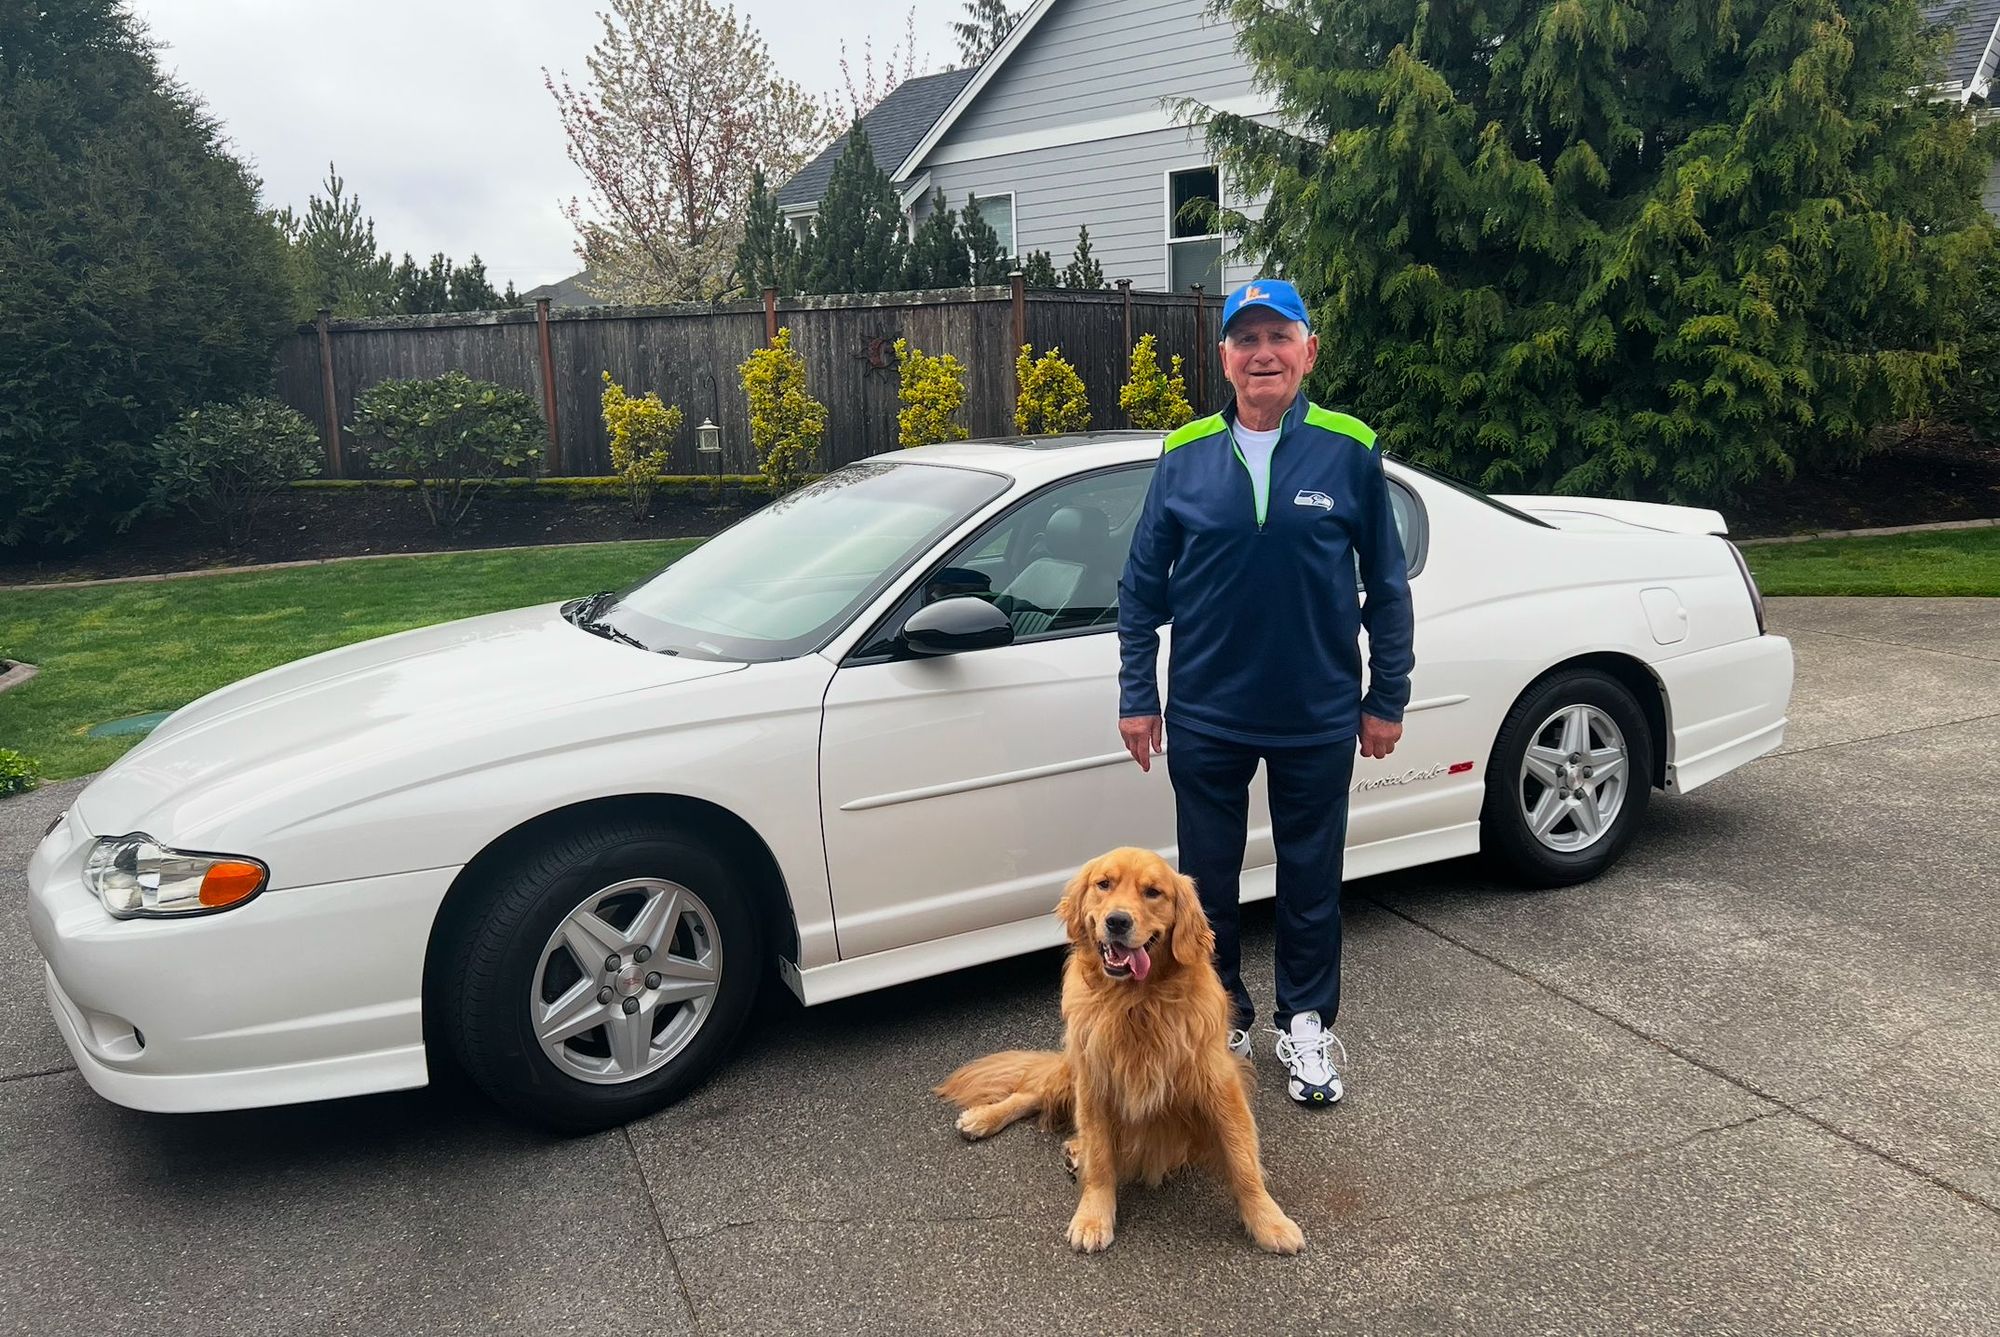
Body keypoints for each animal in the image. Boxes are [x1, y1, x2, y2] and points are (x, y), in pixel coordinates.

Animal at [936, 846, 1304, 1254]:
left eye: (1153, 892)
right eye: (1104, 884)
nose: (1116, 921)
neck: (1137, 1002)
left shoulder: (1219, 1085)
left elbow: (1242, 1159)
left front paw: (1268, 1220)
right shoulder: (1095, 1080)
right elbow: (1100, 1158)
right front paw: (1093, 1216)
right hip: (1074, 1065)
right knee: (1030, 1093)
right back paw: (983, 1118)